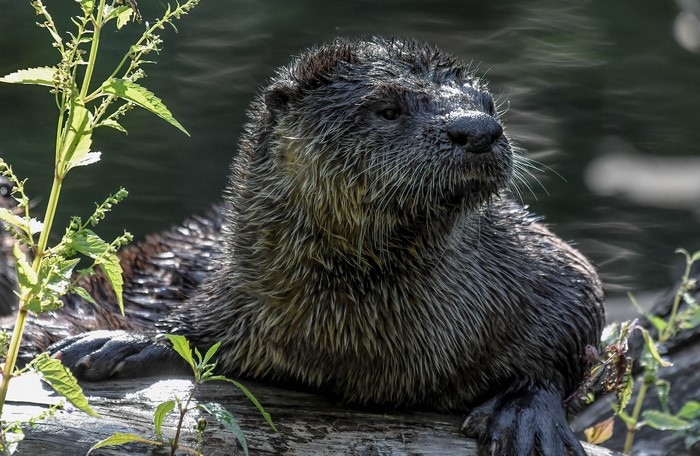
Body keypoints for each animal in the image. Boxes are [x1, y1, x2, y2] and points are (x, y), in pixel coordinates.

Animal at [27, 38, 605, 455]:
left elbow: (579, 305)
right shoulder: (239, 288)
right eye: (388, 109)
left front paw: (526, 409)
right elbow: (196, 325)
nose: (478, 129)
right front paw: (123, 342)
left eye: (486, 104)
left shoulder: (539, 264)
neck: (363, 339)